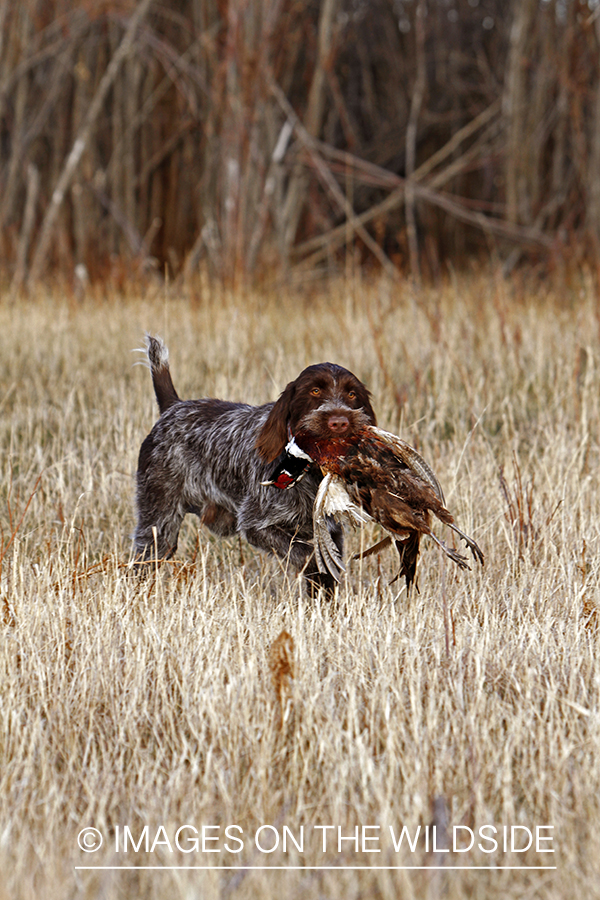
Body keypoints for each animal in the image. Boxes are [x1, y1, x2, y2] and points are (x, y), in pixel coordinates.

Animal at [134, 336, 376, 592]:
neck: (308, 471)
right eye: (315, 390)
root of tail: (173, 407)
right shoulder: (256, 526)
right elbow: (306, 554)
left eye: (352, 394)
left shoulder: (330, 532)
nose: (339, 422)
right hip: (159, 525)